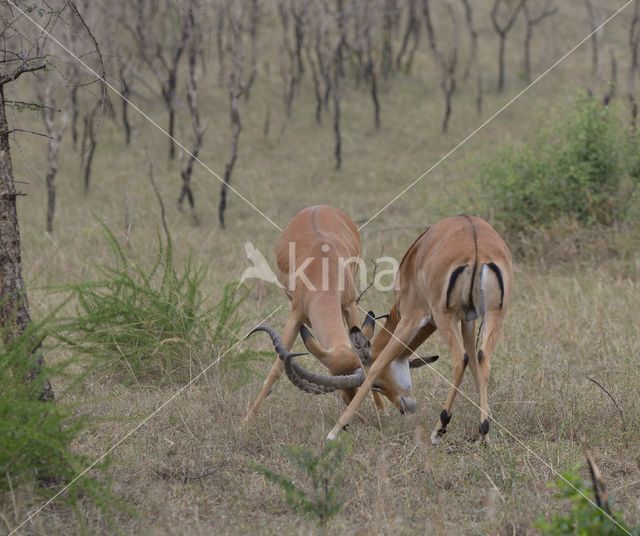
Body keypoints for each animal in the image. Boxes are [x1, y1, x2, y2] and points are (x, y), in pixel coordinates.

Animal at [242, 203, 378, 416]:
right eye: (333, 373)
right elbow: (276, 369)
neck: (323, 268)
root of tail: (319, 207)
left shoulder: (350, 305)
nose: (349, 401)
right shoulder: (295, 315)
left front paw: (382, 411)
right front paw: (246, 420)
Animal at [328, 215, 512, 444]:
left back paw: (439, 429)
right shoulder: (467, 320)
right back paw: (484, 431)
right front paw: (486, 430)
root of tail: (475, 245)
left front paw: (335, 430)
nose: (404, 408)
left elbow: (380, 362)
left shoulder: (411, 318)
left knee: (460, 360)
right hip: (494, 315)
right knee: (482, 359)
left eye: (377, 385)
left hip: (444, 317)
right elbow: (475, 365)